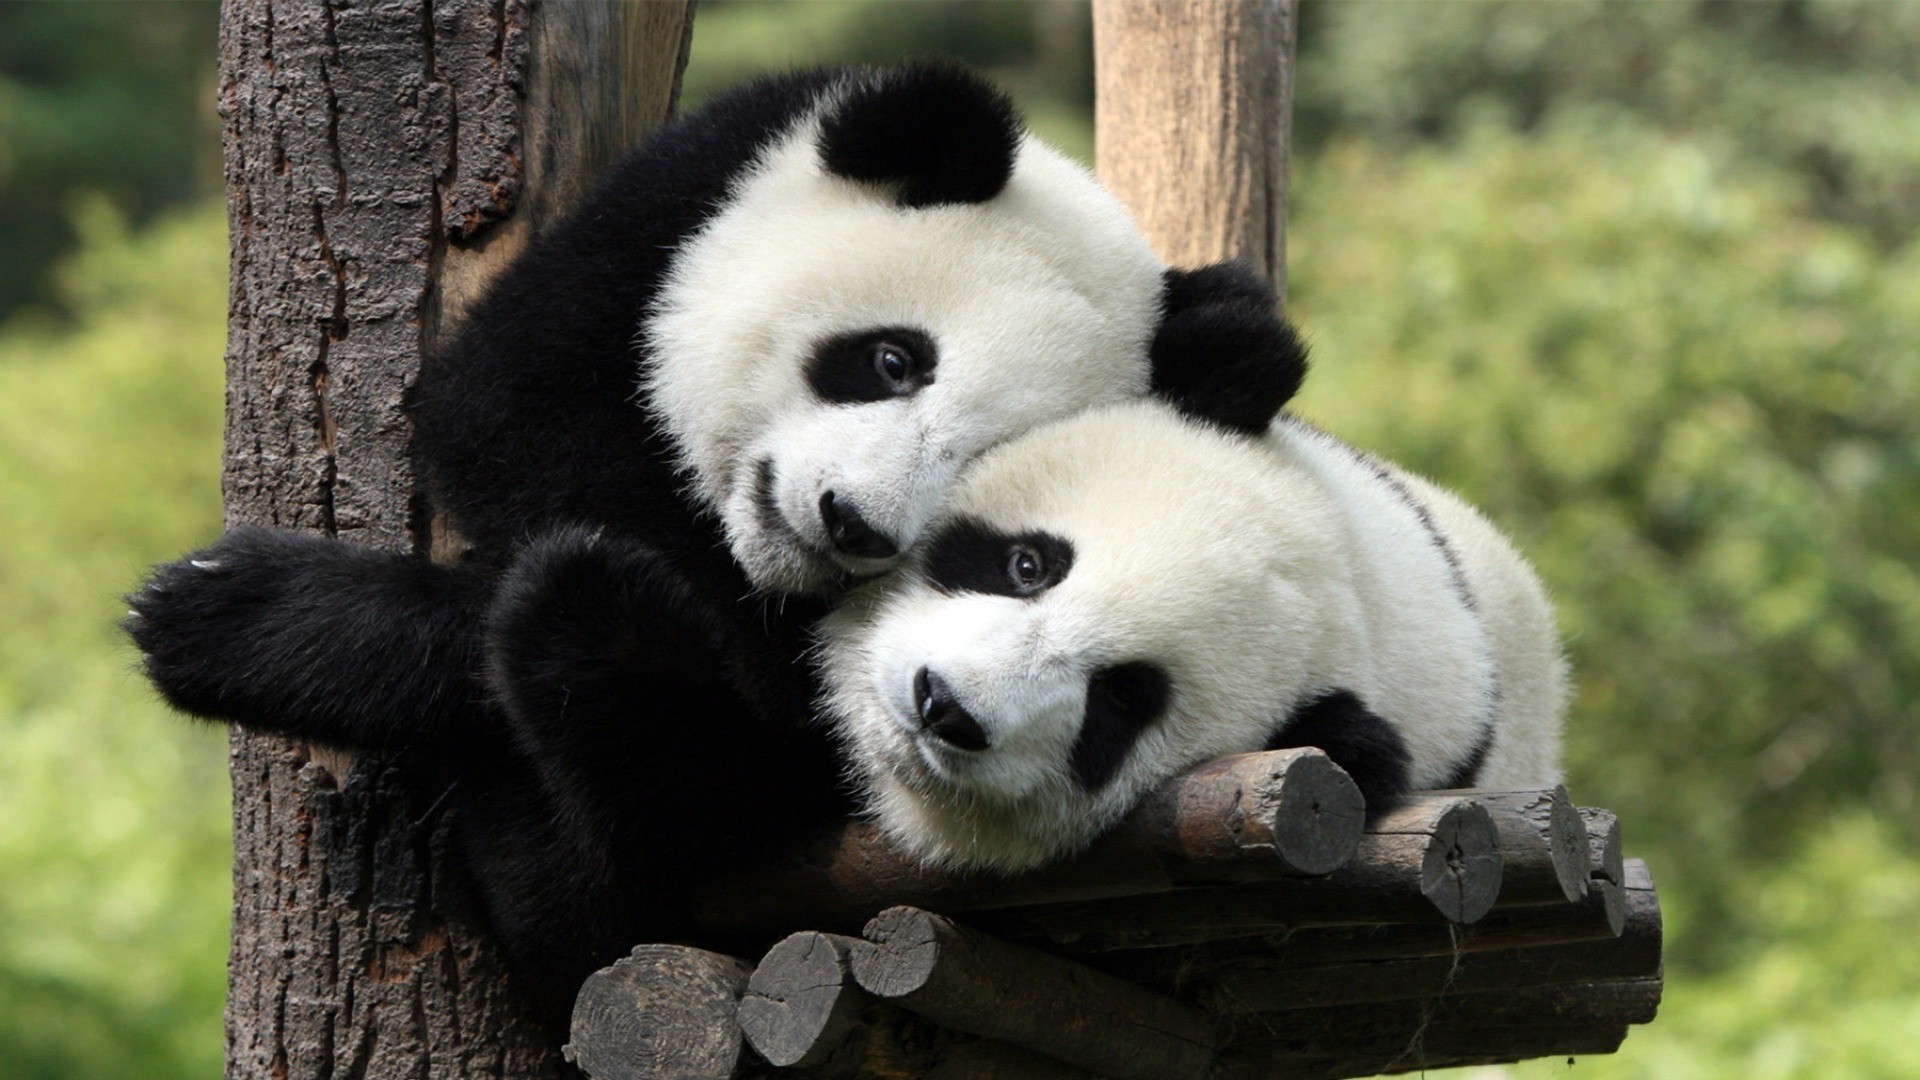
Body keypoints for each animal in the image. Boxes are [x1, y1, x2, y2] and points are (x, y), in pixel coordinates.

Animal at [123, 65, 1305, 1022]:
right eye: (891, 360)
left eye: (982, 462)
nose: (852, 523)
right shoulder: (670, 212)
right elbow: (505, 413)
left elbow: (757, 725)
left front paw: (238, 618)